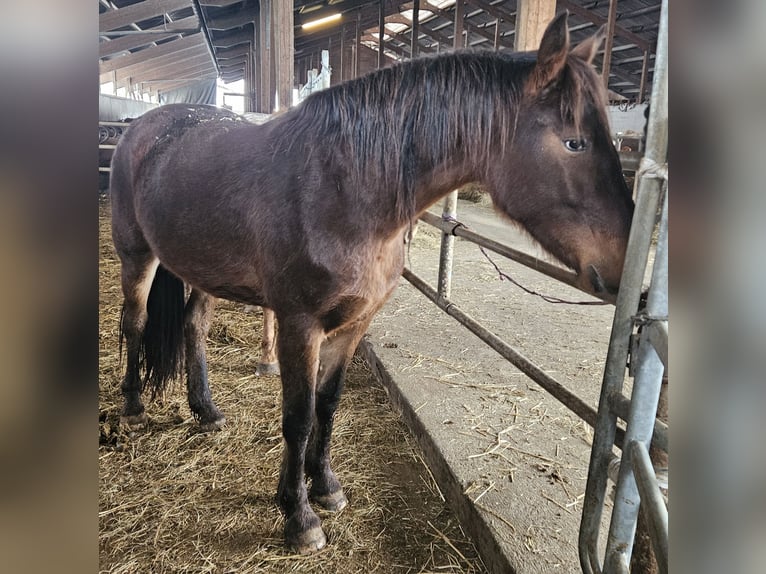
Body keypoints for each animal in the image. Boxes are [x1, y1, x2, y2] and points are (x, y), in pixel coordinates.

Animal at [108, 12, 636, 552]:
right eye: (574, 141)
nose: (625, 268)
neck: (341, 190)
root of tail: (144, 127)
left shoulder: (354, 324)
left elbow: (327, 405)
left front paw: (325, 488)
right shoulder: (299, 325)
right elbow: (298, 417)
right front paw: (298, 517)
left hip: (201, 269)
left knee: (193, 326)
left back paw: (207, 411)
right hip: (137, 255)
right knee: (134, 322)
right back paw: (132, 406)